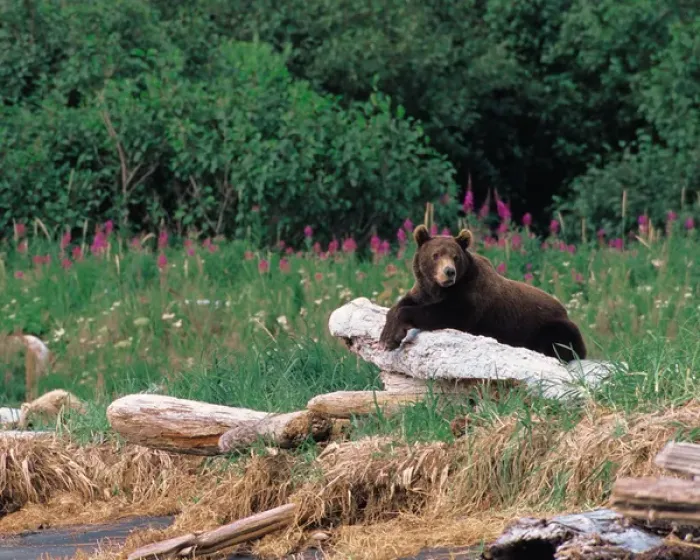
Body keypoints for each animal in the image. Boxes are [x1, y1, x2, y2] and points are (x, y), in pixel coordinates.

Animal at [378, 225, 587, 363]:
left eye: (455, 257)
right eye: (435, 255)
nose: (449, 272)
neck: (440, 288)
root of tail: (565, 311)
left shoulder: (469, 298)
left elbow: (444, 313)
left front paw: (391, 338)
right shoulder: (423, 290)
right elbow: (402, 303)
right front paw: (387, 336)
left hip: (552, 325)